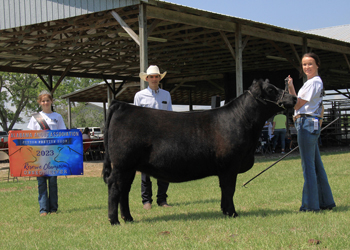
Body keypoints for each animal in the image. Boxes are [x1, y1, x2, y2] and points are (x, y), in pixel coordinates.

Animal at [102, 78, 296, 225]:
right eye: (271, 89)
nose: (294, 98)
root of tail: (122, 105)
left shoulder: (226, 168)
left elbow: (224, 190)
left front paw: (225, 211)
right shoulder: (230, 165)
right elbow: (229, 189)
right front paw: (232, 213)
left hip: (129, 167)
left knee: (124, 189)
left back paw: (128, 218)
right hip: (122, 164)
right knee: (114, 187)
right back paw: (114, 220)